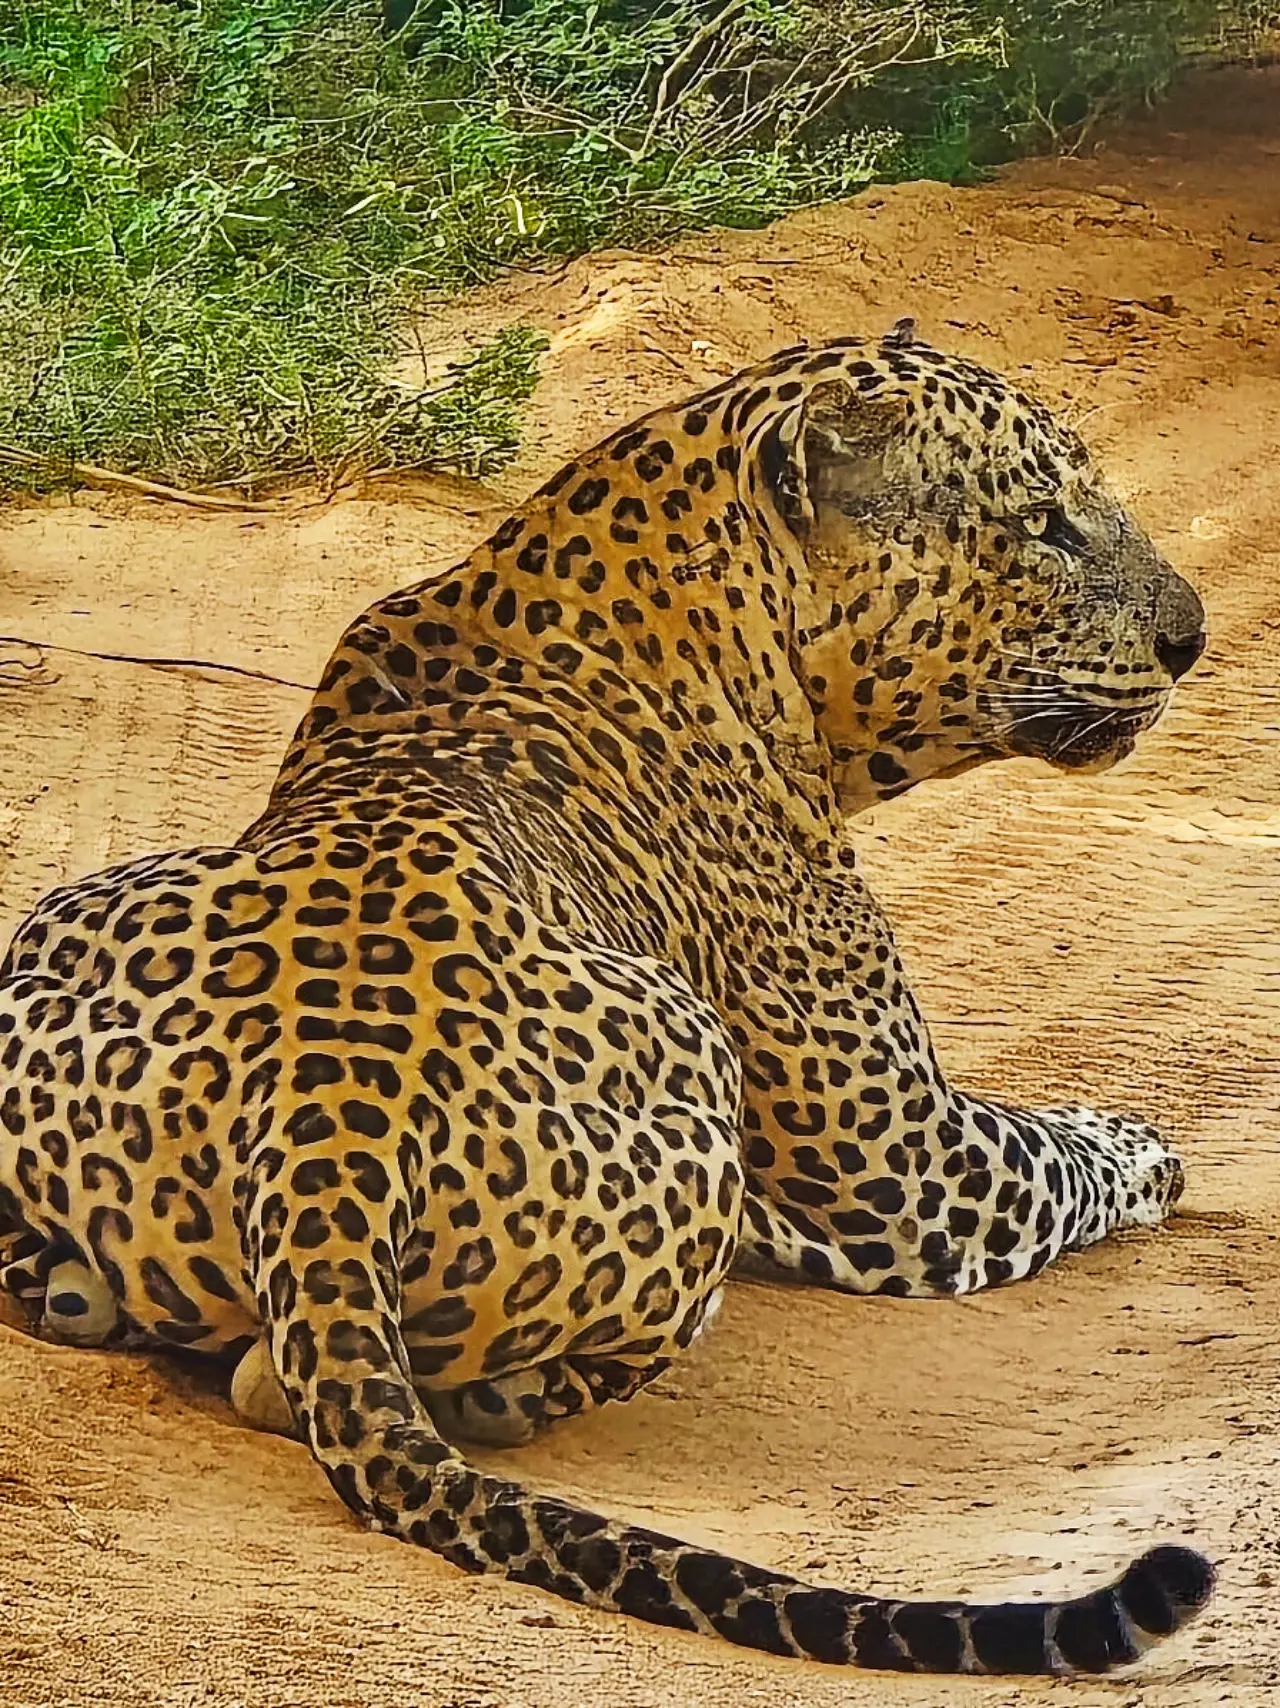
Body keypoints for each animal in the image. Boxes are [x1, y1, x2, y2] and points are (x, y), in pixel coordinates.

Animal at [0, 324, 1215, 1675]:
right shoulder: (903, 1162)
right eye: (1044, 525)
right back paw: (504, 1390)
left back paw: (61, 1283)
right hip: (703, 1131)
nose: (1192, 635)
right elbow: (1067, 1153)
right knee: (322, 1382)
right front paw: (1148, 1149)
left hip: (46, 924)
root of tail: (333, 1129)